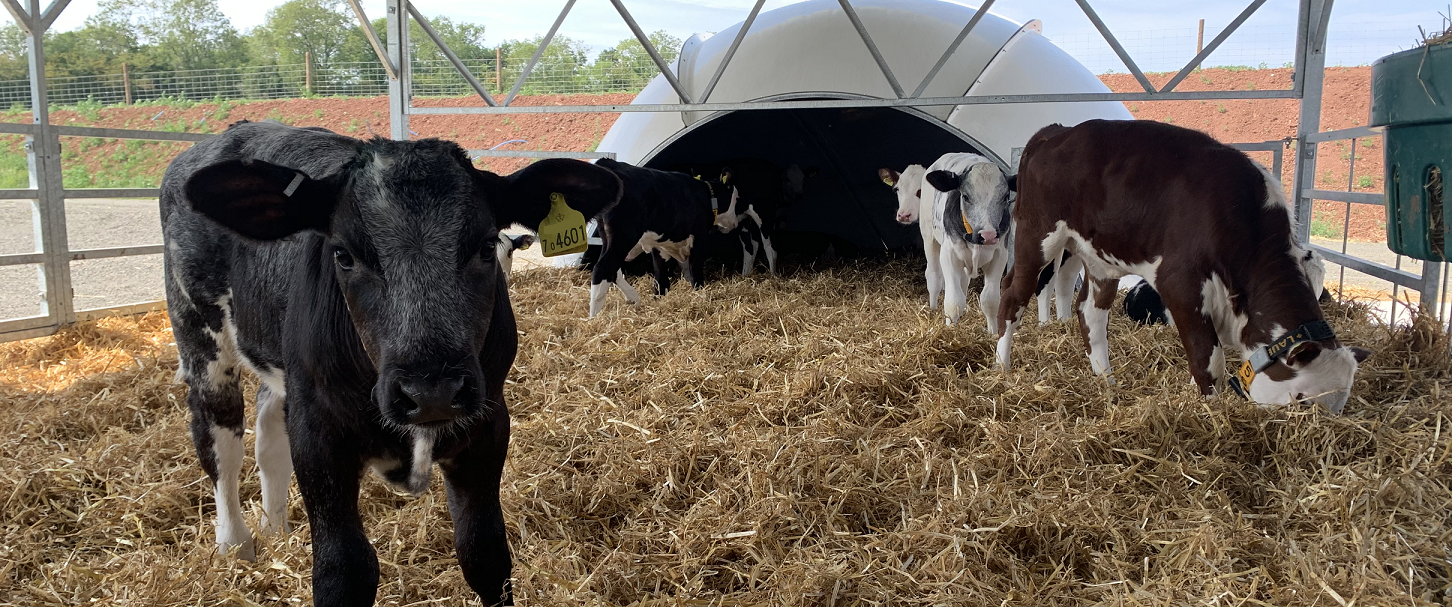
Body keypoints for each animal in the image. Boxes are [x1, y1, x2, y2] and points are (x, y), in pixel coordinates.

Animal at [871, 156, 1080, 326]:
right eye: (965, 196)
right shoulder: (949, 254)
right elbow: (953, 300)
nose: (903, 215)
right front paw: (951, 330)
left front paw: (993, 333)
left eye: (1005, 197)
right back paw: (932, 309)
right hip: (929, 237)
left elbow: (990, 300)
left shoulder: (1000, 256)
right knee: (934, 276)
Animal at [993, 118, 1364, 412]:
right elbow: (1208, 358)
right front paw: (1212, 411)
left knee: (1089, 313)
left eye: (1340, 405)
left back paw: (1107, 380)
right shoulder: (1180, 283)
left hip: (1098, 260)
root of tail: (1056, 132)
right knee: (1012, 296)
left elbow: (1206, 354)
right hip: (1037, 236)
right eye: (1302, 399)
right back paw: (1002, 368)